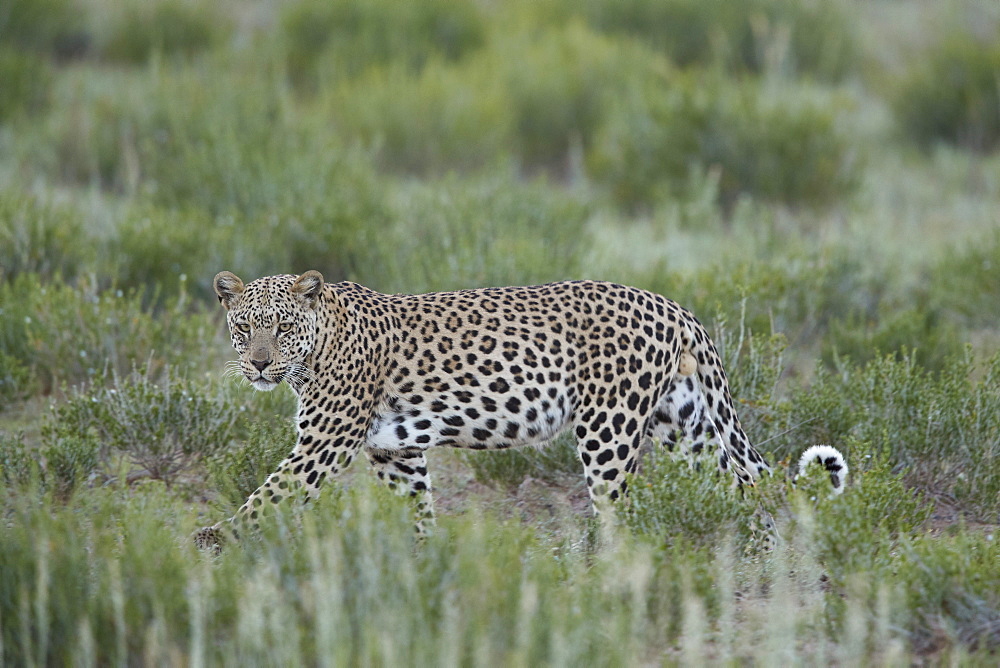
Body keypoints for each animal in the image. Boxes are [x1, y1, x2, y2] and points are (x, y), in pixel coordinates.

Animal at [193, 268, 844, 552]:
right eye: (244, 327)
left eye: (280, 327)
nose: (258, 365)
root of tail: (674, 306)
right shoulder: (394, 452)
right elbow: (416, 512)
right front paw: (423, 565)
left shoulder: (324, 444)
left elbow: (267, 497)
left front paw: (210, 543)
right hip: (685, 425)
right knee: (744, 487)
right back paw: (760, 560)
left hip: (609, 430)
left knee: (619, 513)